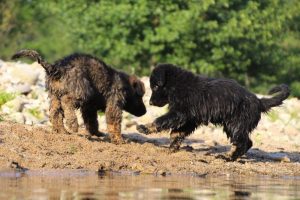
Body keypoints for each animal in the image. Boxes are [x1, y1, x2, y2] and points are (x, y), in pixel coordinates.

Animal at [137, 64, 290, 161]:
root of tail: (258, 101)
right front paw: (173, 146)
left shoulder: (180, 112)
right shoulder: (190, 117)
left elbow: (161, 120)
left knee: (244, 143)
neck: (178, 84)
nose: (150, 103)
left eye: (155, 86)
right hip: (234, 125)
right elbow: (178, 132)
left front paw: (144, 127)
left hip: (235, 124)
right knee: (246, 142)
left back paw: (227, 157)